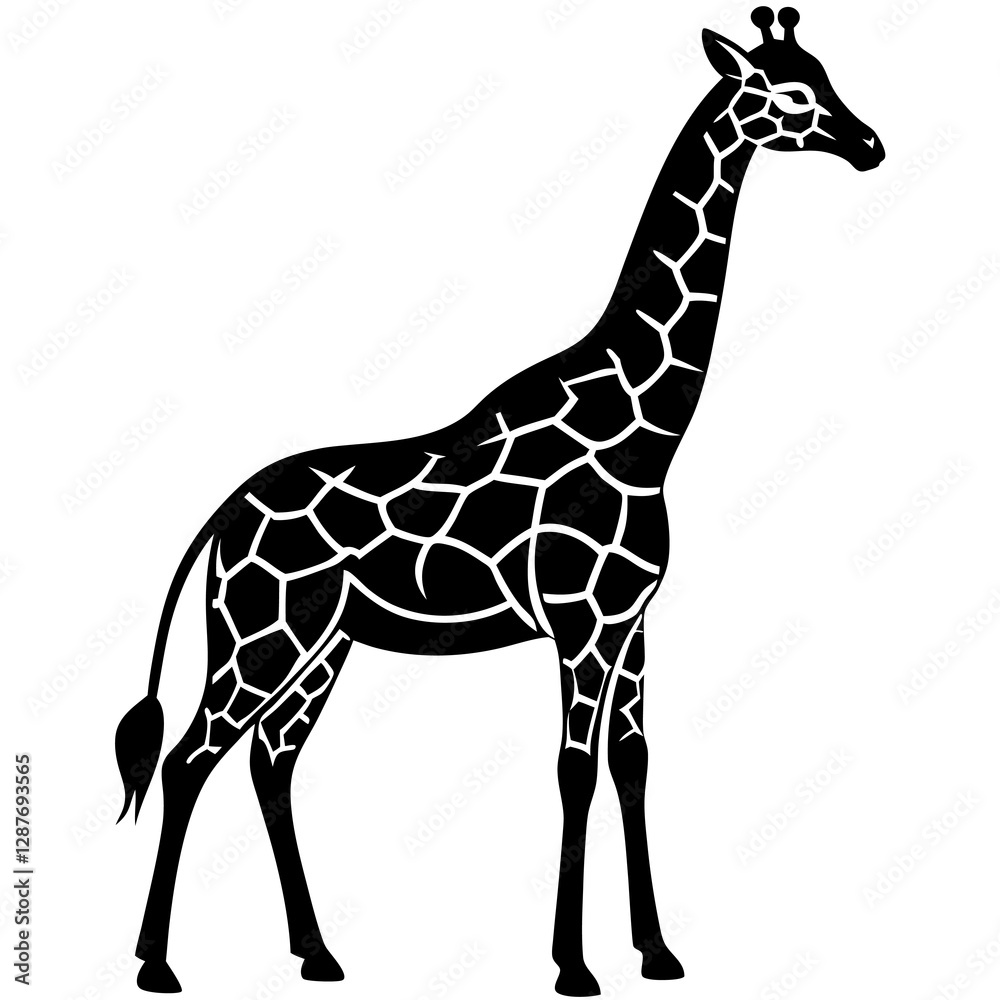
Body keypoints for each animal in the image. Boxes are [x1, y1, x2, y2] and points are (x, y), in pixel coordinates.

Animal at [115, 8, 883, 995]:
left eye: (826, 74)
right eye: (789, 93)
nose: (870, 145)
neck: (646, 426)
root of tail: (224, 510)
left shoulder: (632, 620)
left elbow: (633, 763)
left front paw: (658, 951)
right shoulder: (579, 621)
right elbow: (574, 771)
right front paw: (573, 966)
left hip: (323, 645)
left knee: (269, 762)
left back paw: (318, 953)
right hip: (261, 635)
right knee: (187, 761)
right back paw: (156, 964)